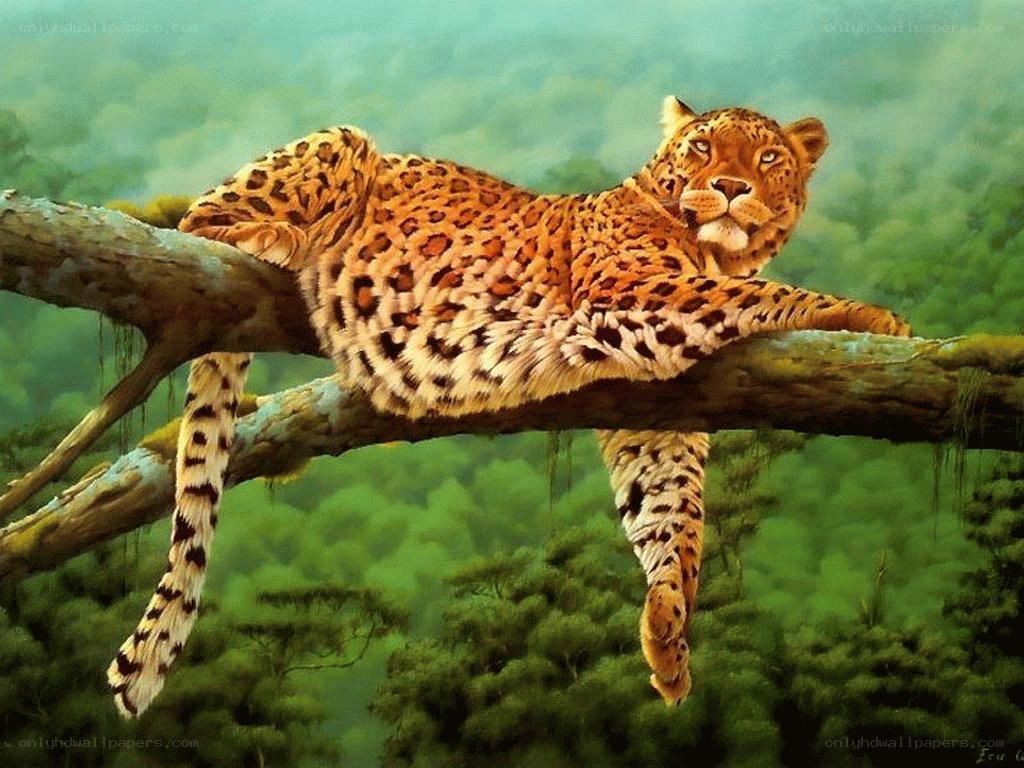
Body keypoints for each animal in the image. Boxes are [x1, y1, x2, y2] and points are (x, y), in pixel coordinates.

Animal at [107, 95, 911, 717]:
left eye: (768, 158)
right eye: (704, 147)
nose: (732, 185)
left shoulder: (652, 409)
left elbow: (671, 514)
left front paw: (668, 630)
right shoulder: (632, 291)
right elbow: (766, 294)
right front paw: (876, 318)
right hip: (339, 144)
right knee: (197, 221)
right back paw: (273, 235)